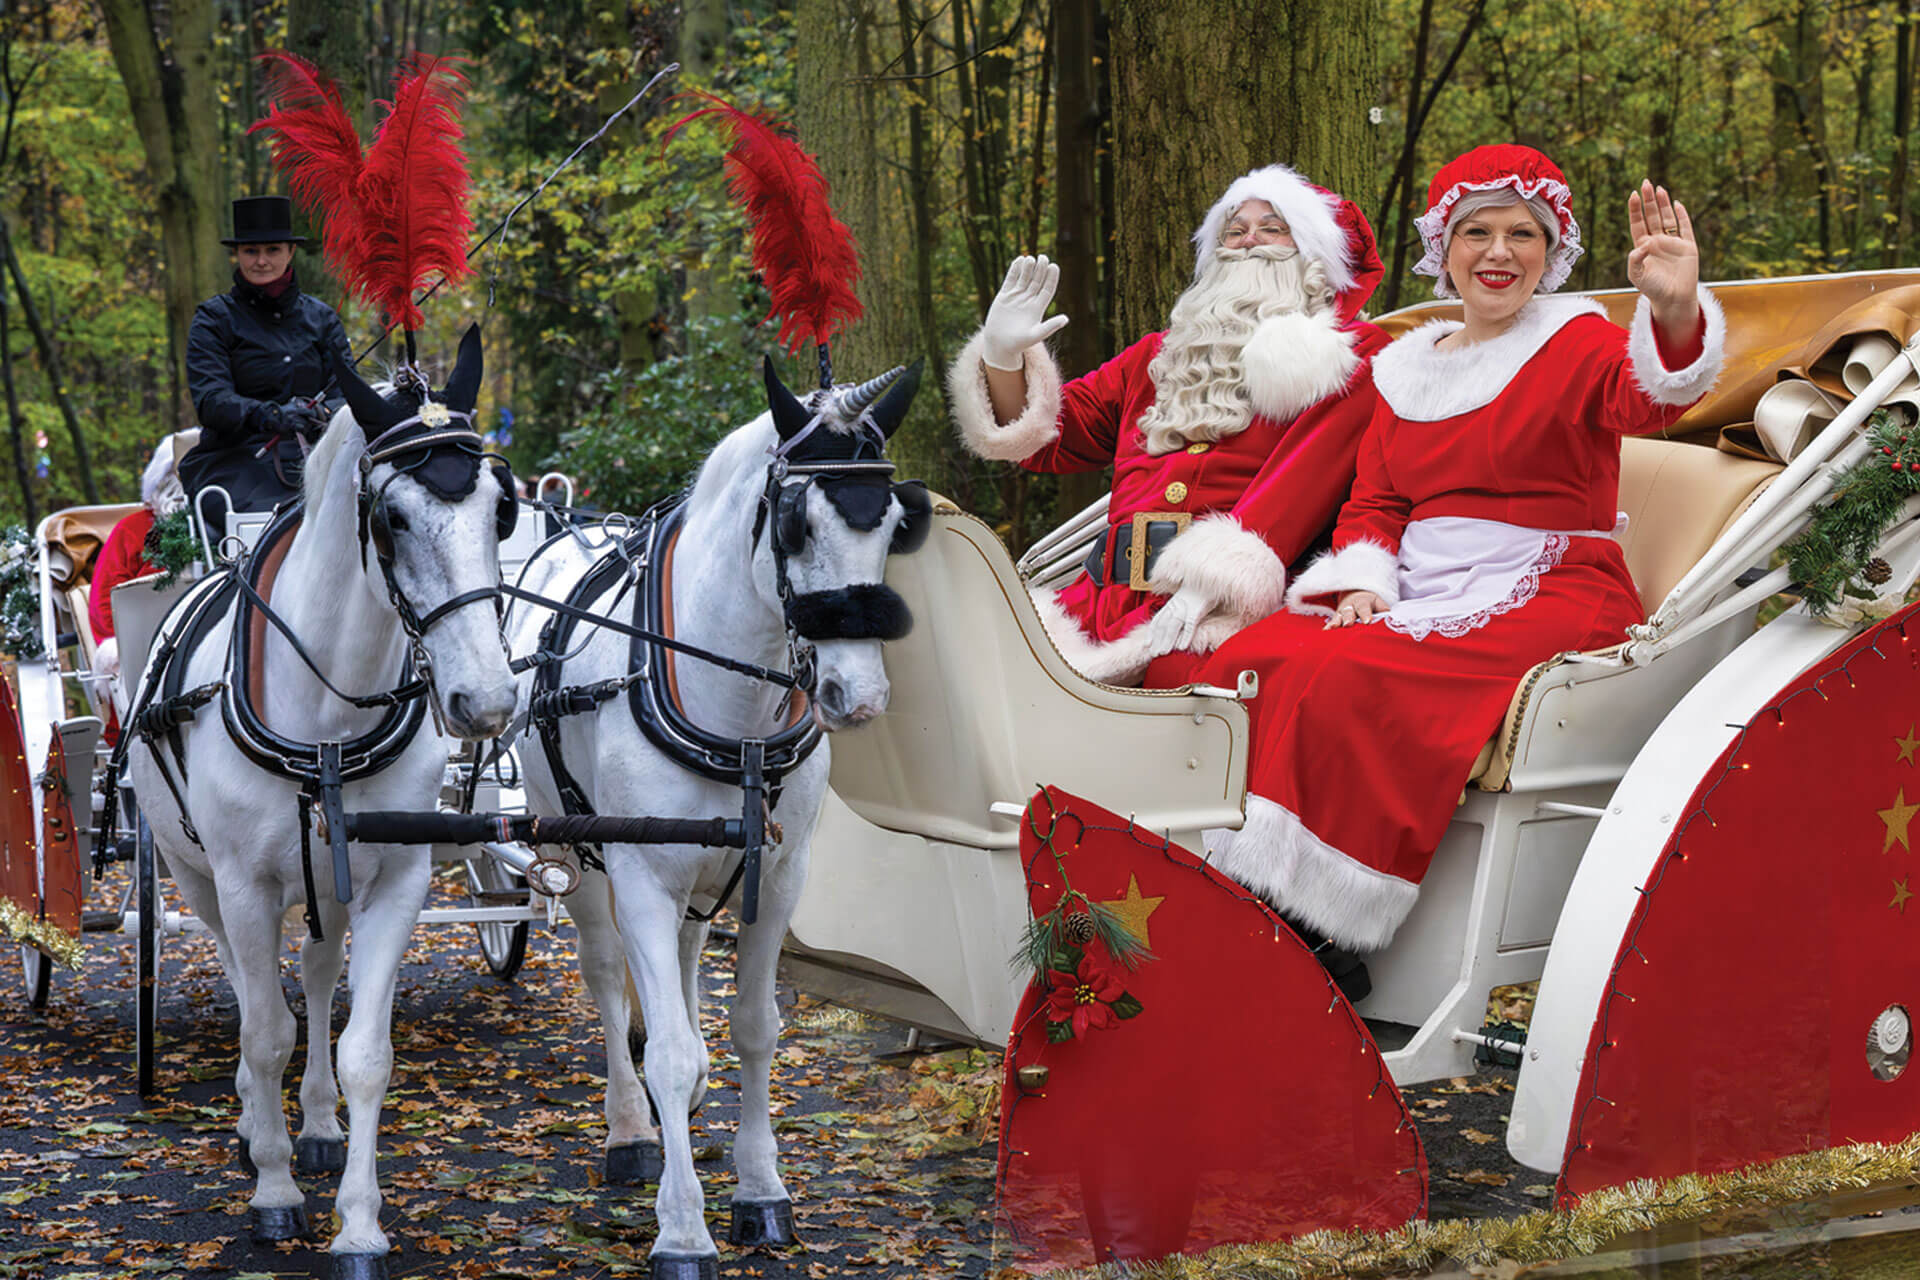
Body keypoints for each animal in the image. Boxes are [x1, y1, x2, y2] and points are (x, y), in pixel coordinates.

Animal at [126, 328, 518, 1280]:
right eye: (392, 518)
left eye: (502, 510)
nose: (486, 702)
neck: (330, 719)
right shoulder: (242, 883)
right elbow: (266, 1031)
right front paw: (272, 1193)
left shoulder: (393, 881)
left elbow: (365, 1049)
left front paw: (359, 1224)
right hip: (196, 876)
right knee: (246, 988)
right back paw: (253, 1122)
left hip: (327, 885)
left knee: (314, 970)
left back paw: (315, 1123)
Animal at [506, 355, 925, 1274]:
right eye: (796, 525)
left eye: (893, 524)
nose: (858, 695)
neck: (735, 714)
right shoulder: (639, 874)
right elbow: (659, 1045)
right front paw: (683, 1227)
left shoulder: (780, 872)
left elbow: (757, 1029)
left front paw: (760, 1191)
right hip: (576, 845)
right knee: (606, 973)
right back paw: (632, 1132)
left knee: (689, 958)